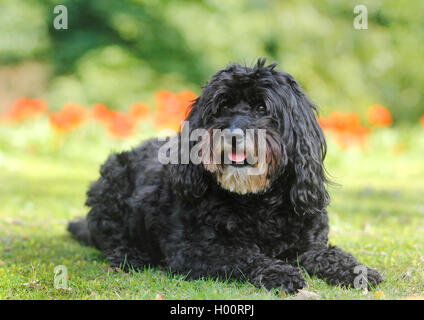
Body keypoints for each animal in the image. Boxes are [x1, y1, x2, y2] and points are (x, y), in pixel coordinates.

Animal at [68, 57, 382, 292]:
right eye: (223, 106)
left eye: (261, 107)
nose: (232, 135)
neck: (258, 203)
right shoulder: (194, 250)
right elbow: (245, 255)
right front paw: (279, 272)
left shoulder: (308, 245)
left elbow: (332, 254)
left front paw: (359, 270)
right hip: (111, 181)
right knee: (111, 239)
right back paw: (132, 255)